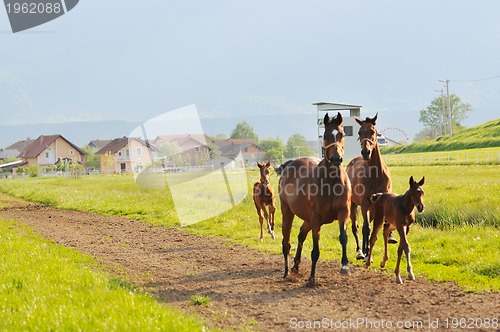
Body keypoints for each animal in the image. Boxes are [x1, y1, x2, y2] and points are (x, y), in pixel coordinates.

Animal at [278, 112, 352, 288]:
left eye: (341, 134)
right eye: (325, 135)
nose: (336, 159)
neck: (331, 183)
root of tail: (288, 165)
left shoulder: (343, 212)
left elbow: (343, 237)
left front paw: (345, 266)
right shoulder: (316, 218)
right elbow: (315, 251)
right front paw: (312, 278)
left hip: (307, 219)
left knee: (300, 235)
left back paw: (296, 265)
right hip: (288, 212)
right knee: (286, 241)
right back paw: (286, 271)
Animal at [346, 114, 392, 260]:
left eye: (372, 131)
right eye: (359, 132)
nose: (365, 152)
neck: (375, 175)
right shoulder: (365, 203)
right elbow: (367, 228)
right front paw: (367, 254)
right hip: (354, 205)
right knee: (356, 227)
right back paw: (361, 251)